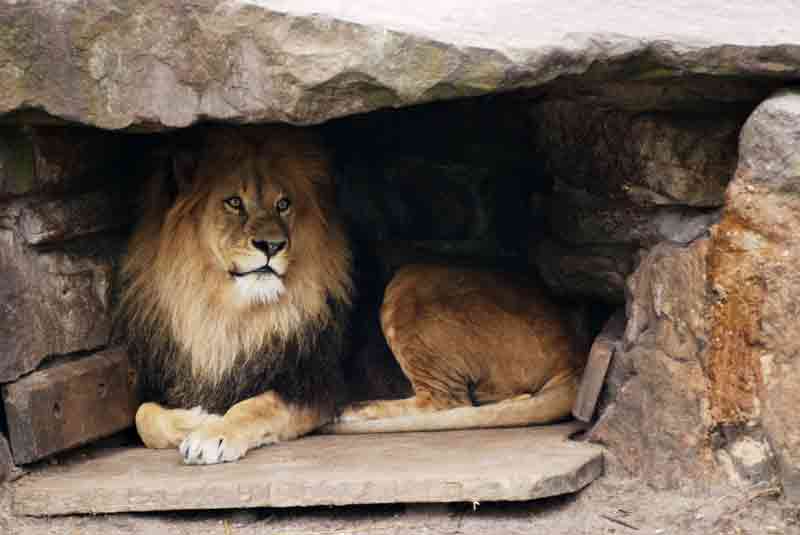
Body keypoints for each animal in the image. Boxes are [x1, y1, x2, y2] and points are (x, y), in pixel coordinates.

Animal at [119, 125, 585, 465]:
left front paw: (213, 433)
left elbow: (254, 406)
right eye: (233, 202)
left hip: (411, 281)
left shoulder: (314, 384)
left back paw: (359, 410)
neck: (230, 310)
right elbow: (143, 416)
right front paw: (193, 419)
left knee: (448, 402)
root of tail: (574, 348)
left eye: (284, 204)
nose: (272, 245)